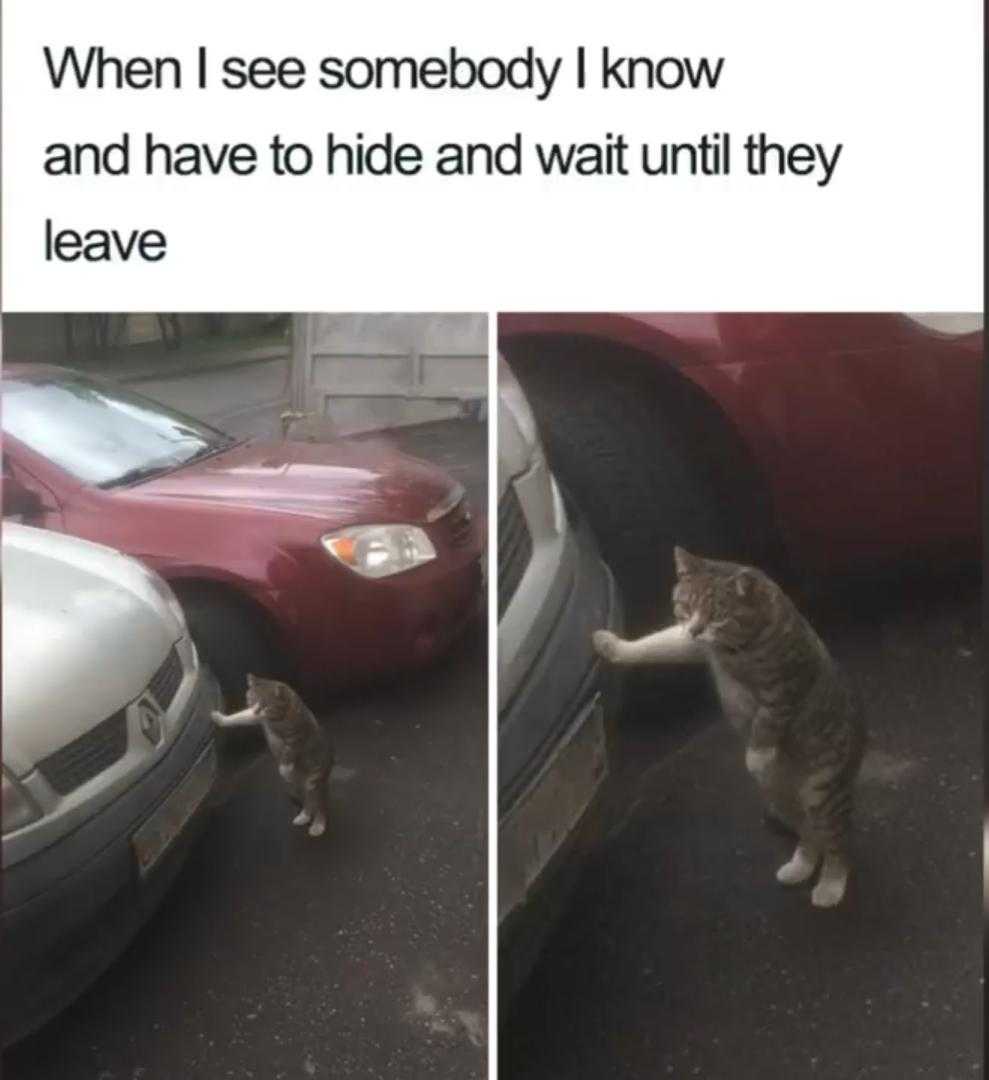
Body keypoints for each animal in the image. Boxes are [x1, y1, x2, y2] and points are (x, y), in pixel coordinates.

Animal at [210, 669, 334, 838]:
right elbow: (240, 717)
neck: (277, 718)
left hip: (315, 780)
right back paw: (304, 816)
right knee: (307, 802)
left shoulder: (297, 737)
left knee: (319, 803)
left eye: (266, 705)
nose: (256, 709)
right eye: (252, 700)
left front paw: (285, 767)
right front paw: (220, 718)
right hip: (295, 785)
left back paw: (318, 825)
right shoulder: (256, 717)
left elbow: (289, 752)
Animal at [595, 544, 863, 907]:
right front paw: (611, 644)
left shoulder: (784, 688)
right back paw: (801, 866)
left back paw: (831, 885)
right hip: (781, 797)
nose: (696, 629)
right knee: (810, 835)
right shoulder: (692, 644)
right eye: (687, 605)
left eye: (718, 615)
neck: (735, 648)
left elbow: (766, 722)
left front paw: (757, 755)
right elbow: (656, 644)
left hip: (823, 792)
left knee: (837, 843)